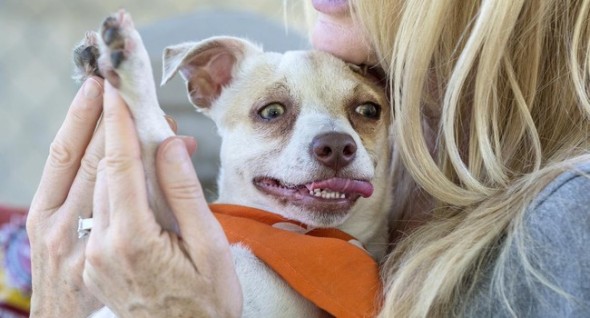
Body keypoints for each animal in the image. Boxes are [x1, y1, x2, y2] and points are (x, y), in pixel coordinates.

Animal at [75, 9, 394, 318]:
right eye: (272, 111)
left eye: (368, 110)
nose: (337, 145)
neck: (305, 235)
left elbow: (155, 134)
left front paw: (126, 60)